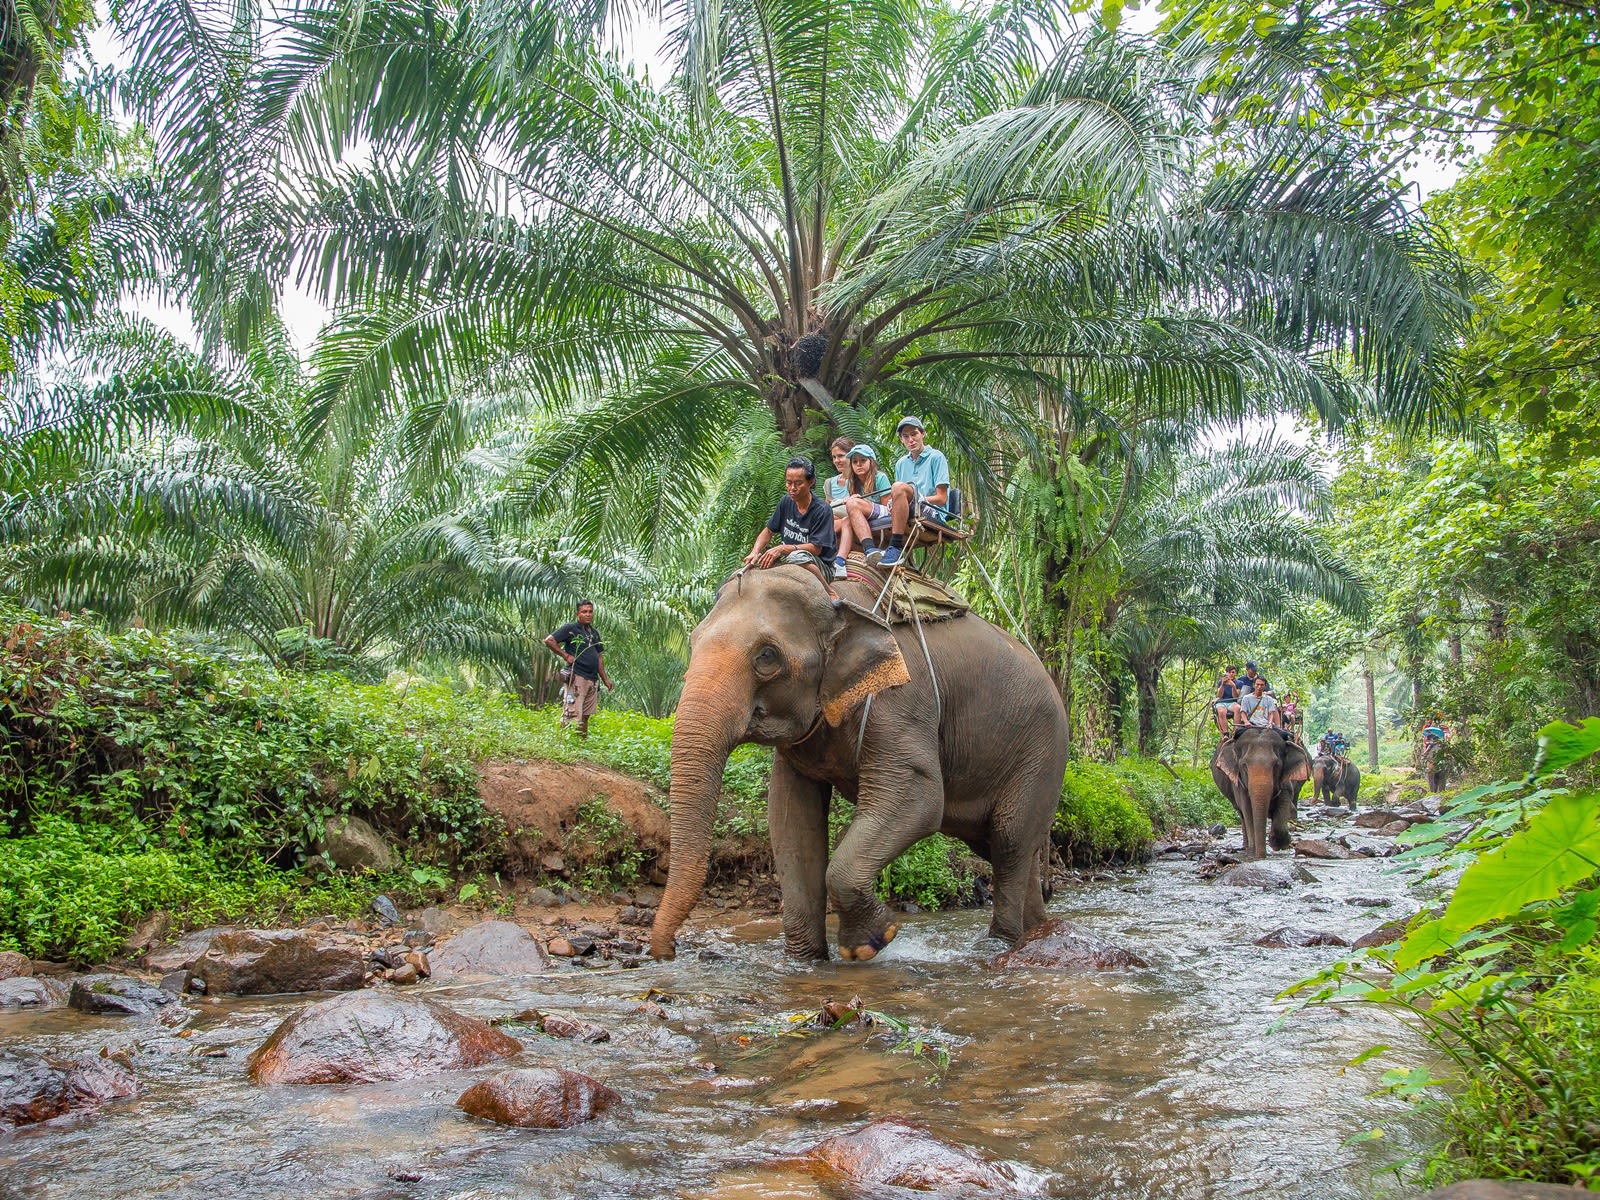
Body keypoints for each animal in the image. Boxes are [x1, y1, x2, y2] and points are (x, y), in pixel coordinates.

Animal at [649, 566, 1075, 966]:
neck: (834, 596)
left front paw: (871, 943)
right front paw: (806, 961)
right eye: (692, 641)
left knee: (1009, 841)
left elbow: (918, 797)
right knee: (1007, 848)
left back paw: (1000, 943)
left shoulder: (900, 698)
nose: (668, 952)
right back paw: (1036, 932)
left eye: (767, 656)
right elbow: (791, 818)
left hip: (1042, 753)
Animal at [1209, 729, 1312, 857]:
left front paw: (1279, 844)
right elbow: (1247, 810)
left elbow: (1284, 801)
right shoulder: (1239, 783)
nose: (1261, 856)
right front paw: (1254, 851)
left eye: (1276, 765)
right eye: (1244, 765)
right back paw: (1246, 846)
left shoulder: (1285, 781)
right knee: (1242, 815)